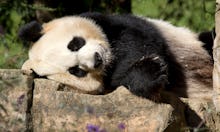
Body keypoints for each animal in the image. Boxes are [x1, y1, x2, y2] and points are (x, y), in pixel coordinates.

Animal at [19, 12, 213, 100]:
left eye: (75, 44)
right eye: (76, 71)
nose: (97, 59)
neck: (112, 59)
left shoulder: (112, 22)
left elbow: (137, 38)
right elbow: (121, 82)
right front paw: (151, 73)